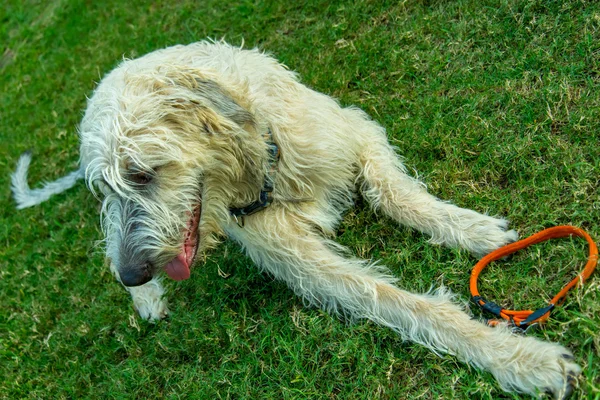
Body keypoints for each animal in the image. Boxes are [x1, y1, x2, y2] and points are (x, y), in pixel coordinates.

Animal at [10, 39, 580, 396]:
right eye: (108, 186)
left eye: (142, 173)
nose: (134, 272)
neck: (260, 163)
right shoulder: (301, 260)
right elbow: (398, 301)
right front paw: (520, 358)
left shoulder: (351, 131)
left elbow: (395, 193)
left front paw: (471, 228)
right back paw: (148, 300)